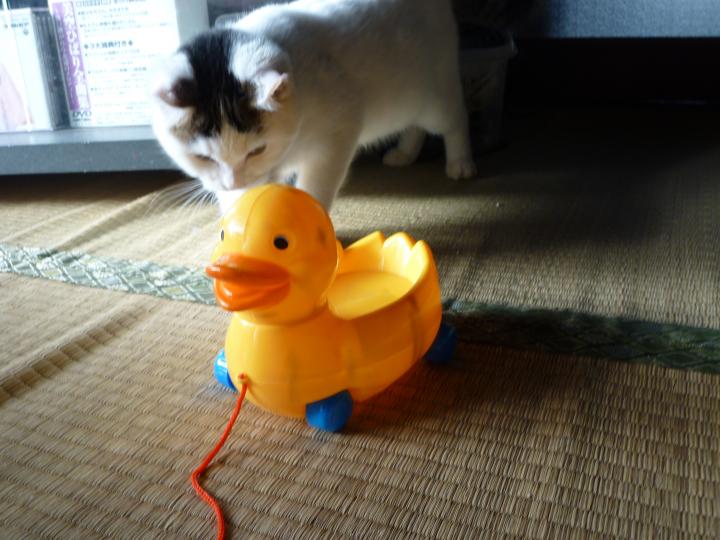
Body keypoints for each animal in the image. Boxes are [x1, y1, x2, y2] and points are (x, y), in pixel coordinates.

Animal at [151, 0, 477, 212]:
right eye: (202, 158)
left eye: (257, 150)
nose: (234, 183)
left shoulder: (336, 136)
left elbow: (315, 187)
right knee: (414, 125)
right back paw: (404, 153)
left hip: (435, 95)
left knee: (455, 119)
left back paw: (460, 163)